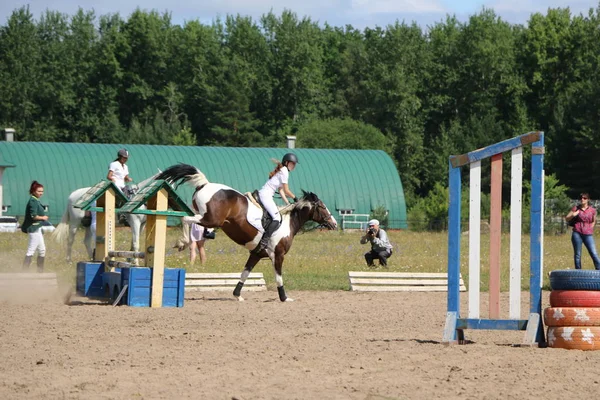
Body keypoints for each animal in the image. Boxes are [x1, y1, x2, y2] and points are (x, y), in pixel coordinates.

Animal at [157, 162, 338, 300]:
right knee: (185, 219)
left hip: (205, 216)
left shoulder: (256, 254)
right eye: (322, 207)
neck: (289, 223)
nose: (334, 224)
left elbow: (245, 273)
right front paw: (284, 297)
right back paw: (182, 242)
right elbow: (279, 277)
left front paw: (237, 295)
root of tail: (205, 184)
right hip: (211, 219)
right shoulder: (278, 255)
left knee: (189, 221)